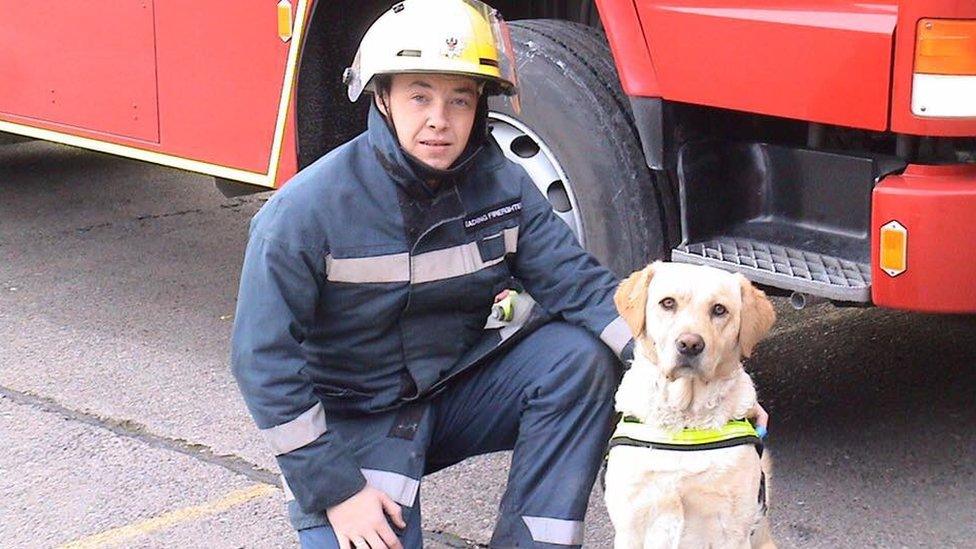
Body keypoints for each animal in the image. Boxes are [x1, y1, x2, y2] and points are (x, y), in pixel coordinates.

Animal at [608, 262, 772, 548]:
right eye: (668, 303)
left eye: (719, 309)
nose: (689, 344)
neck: (685, 422)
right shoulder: (631, 524)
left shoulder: (732, 530)